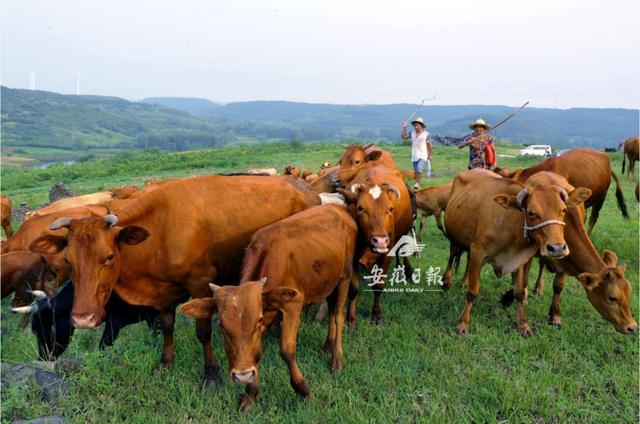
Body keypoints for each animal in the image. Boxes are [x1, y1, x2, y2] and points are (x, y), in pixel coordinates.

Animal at [29, 174, 320, 386]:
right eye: (69, 260)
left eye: (109, 256)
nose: (83, 318)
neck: (159, 233)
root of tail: (305, 187)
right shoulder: (163, 294)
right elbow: (167, 326)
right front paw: (165, 362)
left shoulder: (201, 283)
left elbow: (203, 332)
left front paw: (210, 373)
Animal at [181, 205, 360, 410]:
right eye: (222, 326)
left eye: (258, 319)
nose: (242, 375)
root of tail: (339, 209)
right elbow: (255, 352)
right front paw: (250, 395)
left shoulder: (293, 304)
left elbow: (287, 351)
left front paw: (303, 390)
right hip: (327, 281)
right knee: (331, 311)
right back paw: (327, 346)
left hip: (345, 275)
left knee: (338, 315)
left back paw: (336, 359)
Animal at [444, 168, 592, 334]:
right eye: (531, 212)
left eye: (563, 210)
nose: (557, 248)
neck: (509, 222)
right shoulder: (478, 252)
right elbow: (472, 292)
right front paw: (463, 324)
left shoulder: (520, 259)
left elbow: (520, 292)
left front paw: (523, 324)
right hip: (454, 238)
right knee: (452, 256)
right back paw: (446, 282)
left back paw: (464, 281)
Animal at [502, 172, 636, 334]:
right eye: (612, 298)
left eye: (629, 293)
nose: (632, 327)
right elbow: (522, 283)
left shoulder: (565, 256)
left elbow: (558, 286)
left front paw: (555, 317)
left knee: (542, 264)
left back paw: (539, 287)